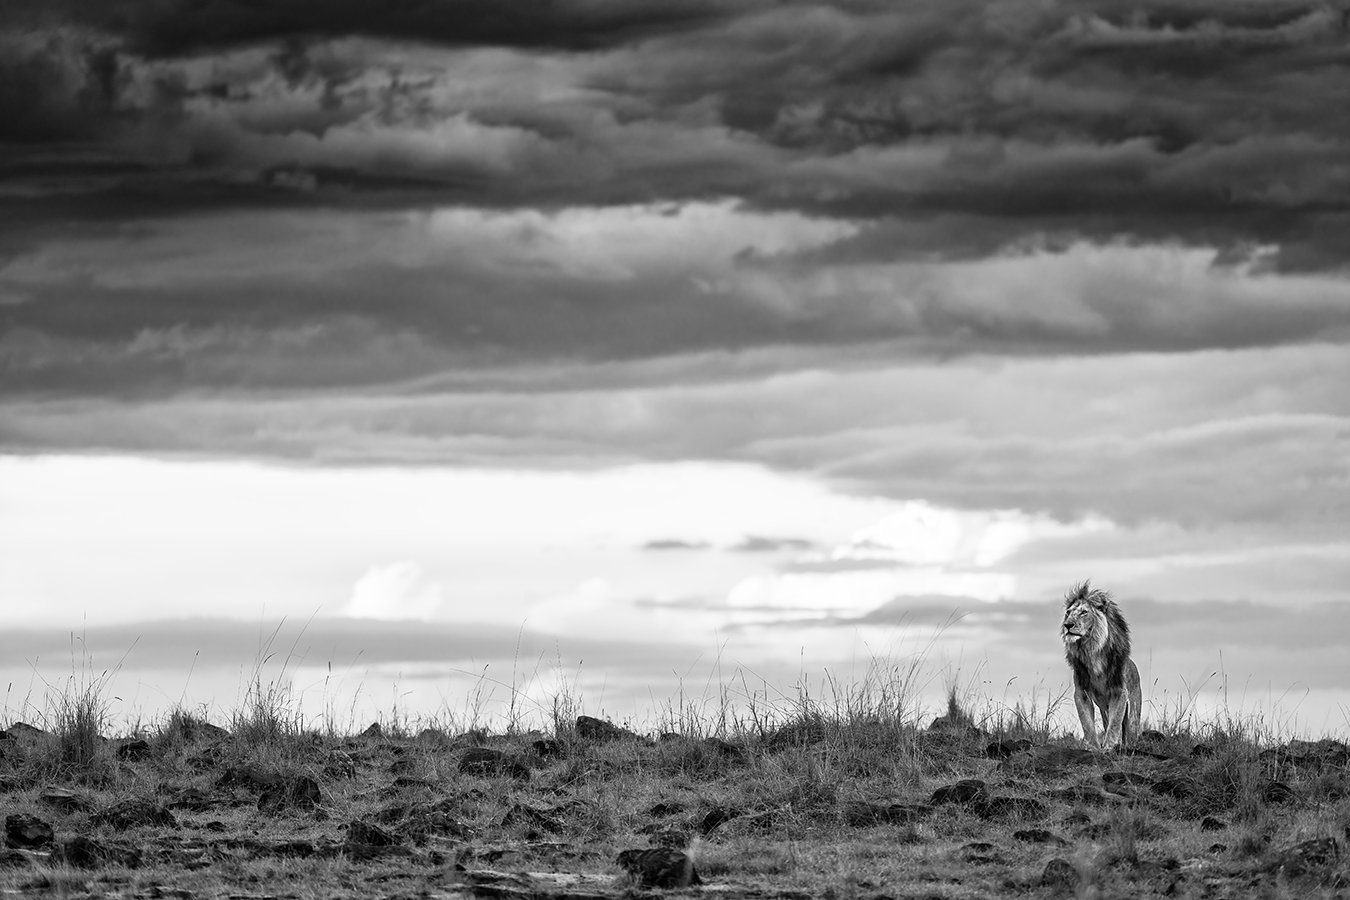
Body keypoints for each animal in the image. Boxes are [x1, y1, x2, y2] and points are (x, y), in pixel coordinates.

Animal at [1061, 581, 1141, 750]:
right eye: (1068, 612)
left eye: (1084, 612)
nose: (1068, 625)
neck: (1091, 649)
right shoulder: (1081, 692)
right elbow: (1087, 723)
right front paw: (1093, 747)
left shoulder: (1119, 691)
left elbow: (1115, 723)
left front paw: (1109, 747)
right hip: (1104, 708)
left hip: (1133, 710)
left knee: (1129, 730)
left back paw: (1127, 746)